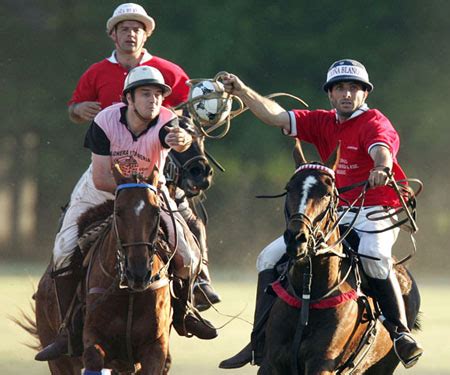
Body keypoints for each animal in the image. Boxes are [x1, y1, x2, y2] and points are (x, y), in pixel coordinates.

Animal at [34, 168, 171, 375]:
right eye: (118, 211)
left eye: (156, 211)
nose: (138, 273)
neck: (129, 292)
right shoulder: (94, 338)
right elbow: (94, 356)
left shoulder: (155, 347)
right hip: (58, 359)